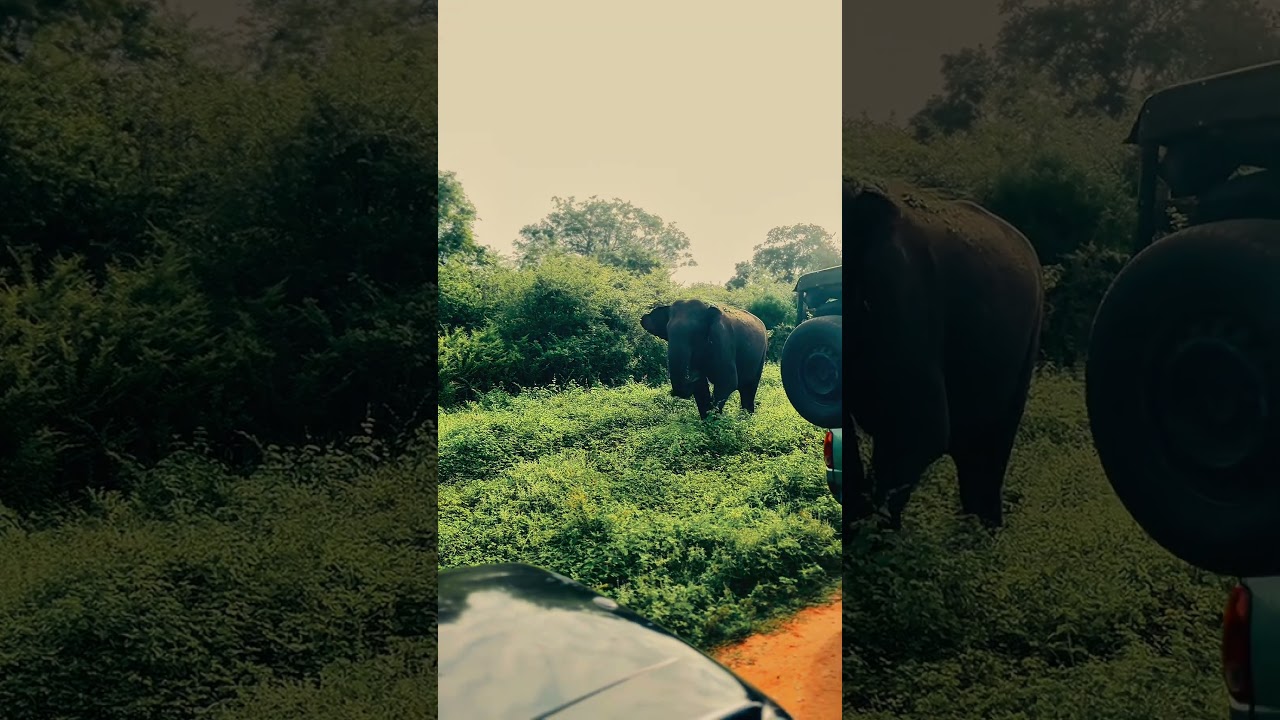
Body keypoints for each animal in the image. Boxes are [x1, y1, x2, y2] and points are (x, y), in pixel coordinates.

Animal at [640, 299, 769, 419]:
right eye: (667, 333)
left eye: (695, 333)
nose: (693, 373)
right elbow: (700, 388)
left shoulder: (723, 341)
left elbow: (727, 381)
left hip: (761, 355)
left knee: (749, 388)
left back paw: (746, 418)